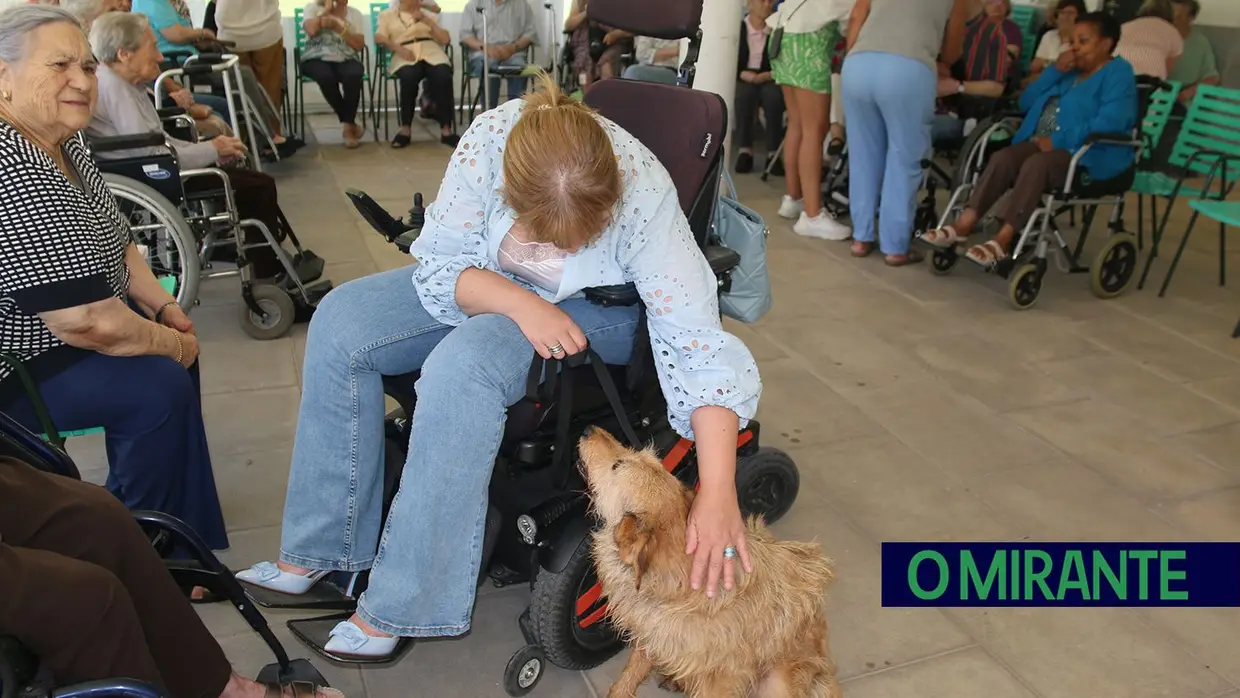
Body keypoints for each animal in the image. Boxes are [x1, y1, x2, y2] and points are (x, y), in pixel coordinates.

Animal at [580, 426, 843, 698]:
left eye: (617, 465)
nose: (590, 429)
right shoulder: (652, 634)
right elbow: (631, 673)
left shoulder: (724, 677)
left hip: (777, 682)